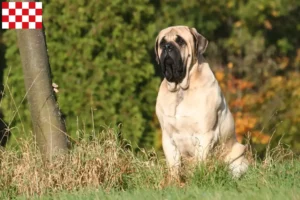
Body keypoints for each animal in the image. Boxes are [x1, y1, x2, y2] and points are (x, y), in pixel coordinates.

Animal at [155, 25, 248, 178]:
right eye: (162, 43)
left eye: (180, 41)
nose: (167, 47)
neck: (181, 88)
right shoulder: (168, 137)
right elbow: (174, 166)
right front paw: (173, 181)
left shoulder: (205, 135)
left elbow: (200, 161)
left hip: (238, 159)